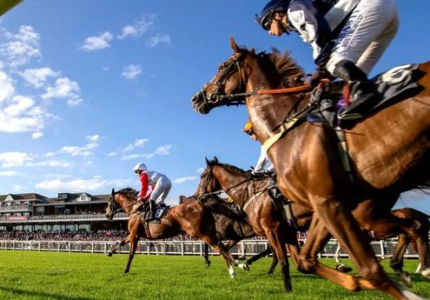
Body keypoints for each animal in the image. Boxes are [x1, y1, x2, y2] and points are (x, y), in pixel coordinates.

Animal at [103, 188, 249, 276]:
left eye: (109, 202)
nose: (107, 214)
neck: (135, 210)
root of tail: (203, 205)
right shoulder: (133, 234)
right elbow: (121, 242)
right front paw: (109, 252)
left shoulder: (135, 235)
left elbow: (131, 253)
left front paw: (126, 269)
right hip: (207, 231)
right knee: (222, 246)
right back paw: (239, 264)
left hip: (198, 232)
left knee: (219, 247)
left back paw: (232, 271)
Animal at [194, 158, 298, 292]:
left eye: (202, 175)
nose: (196, 195)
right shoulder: (235, 236)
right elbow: (223, 249)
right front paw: (236, 264)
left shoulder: (224, 234)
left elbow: (216, 246)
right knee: (273, 252)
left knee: (274, 252)